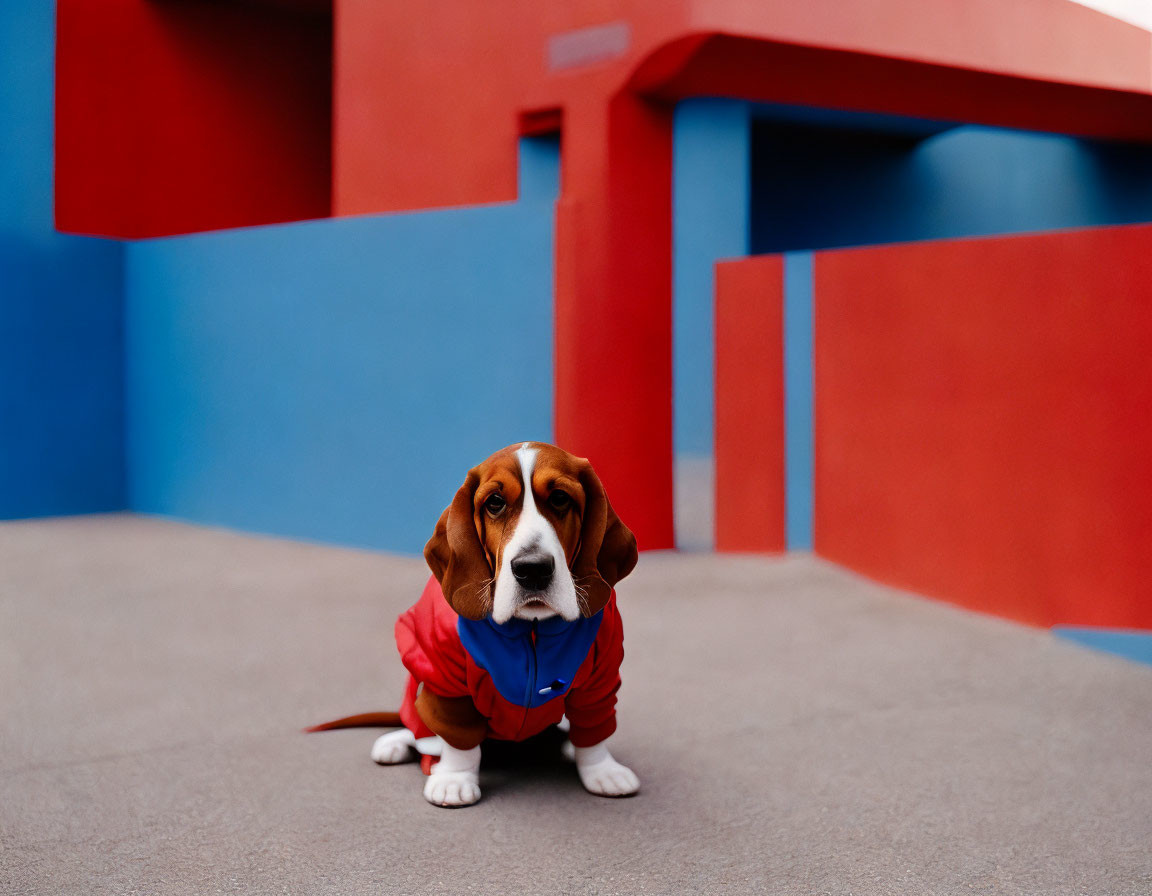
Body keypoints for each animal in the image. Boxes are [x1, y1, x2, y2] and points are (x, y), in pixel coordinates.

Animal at [311, 439, 645, 801]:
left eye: (560, 498)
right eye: (495, 503)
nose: (532, 569)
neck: (531, 628)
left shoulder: (601, 679)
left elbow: (593, 729)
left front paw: (602, 771)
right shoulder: (444, 676)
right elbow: (459, 737)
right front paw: (454, 780)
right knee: (416, 726)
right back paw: (395, 743)